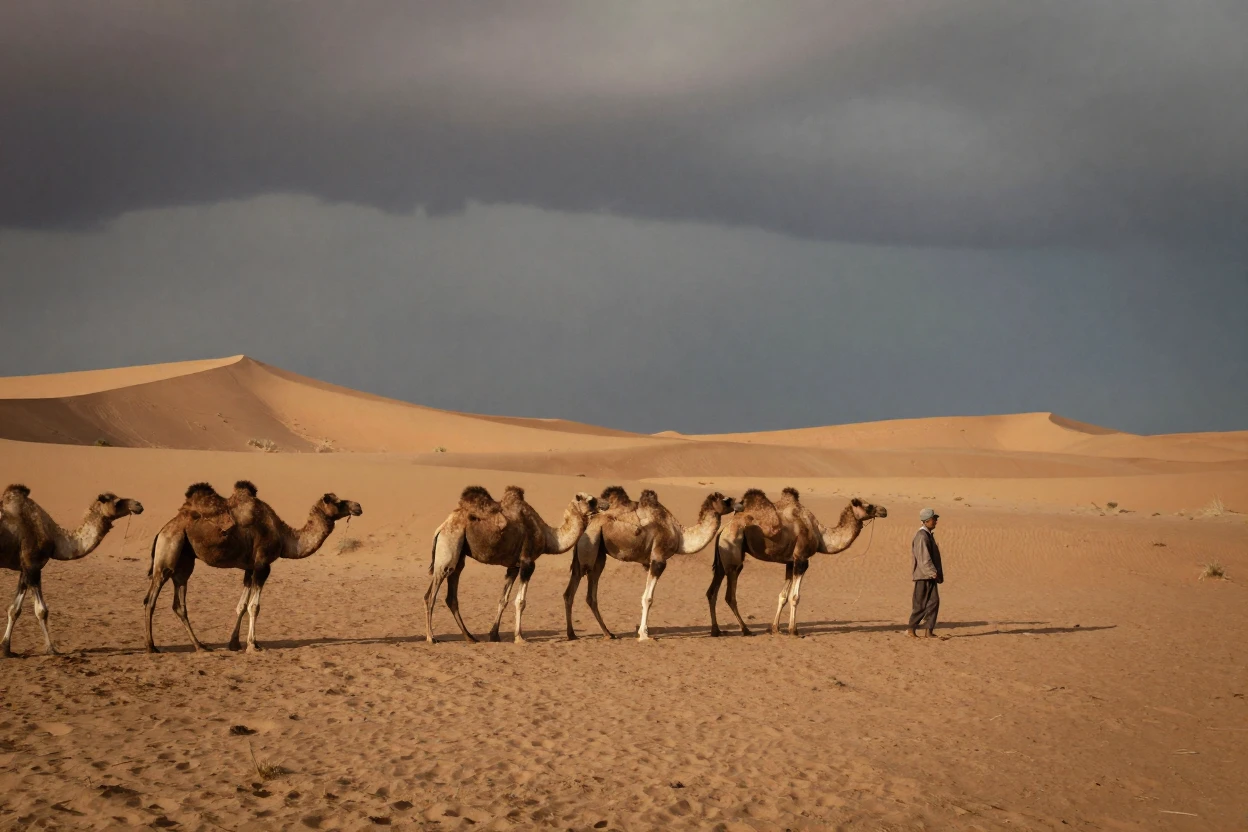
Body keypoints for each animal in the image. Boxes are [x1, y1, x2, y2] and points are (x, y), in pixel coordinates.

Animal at [1, 484, 144, 657]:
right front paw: (52, 649)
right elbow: (41, 610)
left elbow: (14, 609)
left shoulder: (26, 568)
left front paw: (5, 649)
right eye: (117, 502)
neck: (55, 538)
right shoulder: (33, 564)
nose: (138, 505)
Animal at [143, 480, 362, 654]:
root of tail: (162, 530)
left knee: (179, 603)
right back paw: (151, 646)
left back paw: (200, 646)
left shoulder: (249, 569)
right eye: (338, 502)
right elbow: (254, 606)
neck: (284, 537)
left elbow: (241, 606)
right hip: (169, 551)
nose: (358, 506)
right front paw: (253, 645)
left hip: (185, 560)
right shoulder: (262, 565)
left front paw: (234, 644)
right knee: (151, 599)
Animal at [425, 485, 598, 644]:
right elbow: (520, 601)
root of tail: (441, 528)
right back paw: (431, 637)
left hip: (458, 555)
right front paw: (519, 637)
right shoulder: (527, 563)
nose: (599, 507)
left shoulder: (513, 567)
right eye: (589, 500)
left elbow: (503, 600)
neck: (547, 537)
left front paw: (494, 635)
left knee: (451, 594)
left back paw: (470, 637)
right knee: (431, 595)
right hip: (449, 545)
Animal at [564, 486, 741, 641]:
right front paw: (644, 635)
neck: (680, 535)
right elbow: (648, 598)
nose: (739, 505)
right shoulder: (658, 559)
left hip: (597, 554)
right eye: (727, 500)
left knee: (581, 593)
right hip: (590, 547)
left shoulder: (649, 563)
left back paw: (602, 634)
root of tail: (587, 524)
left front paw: (643, 631)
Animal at [707, 488, 887, 637]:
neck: (820, 535)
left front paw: (775, 628)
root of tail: (723, 530)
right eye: (869, 505)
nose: (884, 510)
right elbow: (795, 597)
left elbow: (783, 596)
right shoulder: (801, 559)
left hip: (723, 560)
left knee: (712, 591)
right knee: (730, 595)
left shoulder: (789, 562)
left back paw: (716, 630)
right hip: (734, 557)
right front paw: (793, 630)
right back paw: (745, 630)